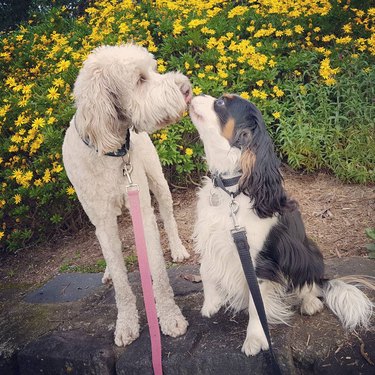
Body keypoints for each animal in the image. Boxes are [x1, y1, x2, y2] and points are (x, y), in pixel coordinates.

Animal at [62, 45, 192, 348]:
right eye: (139, 79)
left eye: (152, 70)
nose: (186, 87)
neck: (110, 151)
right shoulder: (103, 220)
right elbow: (121, 281)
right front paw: (126, 323)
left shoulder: (142, 210)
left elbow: (158, 272)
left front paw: (169, 317)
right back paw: (109, 271)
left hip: (157, 179)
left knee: (168, 215)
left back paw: (178, 248)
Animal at [189, 95, 374, 356]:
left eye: (222, 103)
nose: (194, 93)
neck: (232, 188)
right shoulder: (211, 238)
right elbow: (206, 270)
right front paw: (211, 303)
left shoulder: (259, 261)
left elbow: (257, 305)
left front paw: (255, 338)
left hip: (306, 253)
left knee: (309, 284)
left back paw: (310, 303)